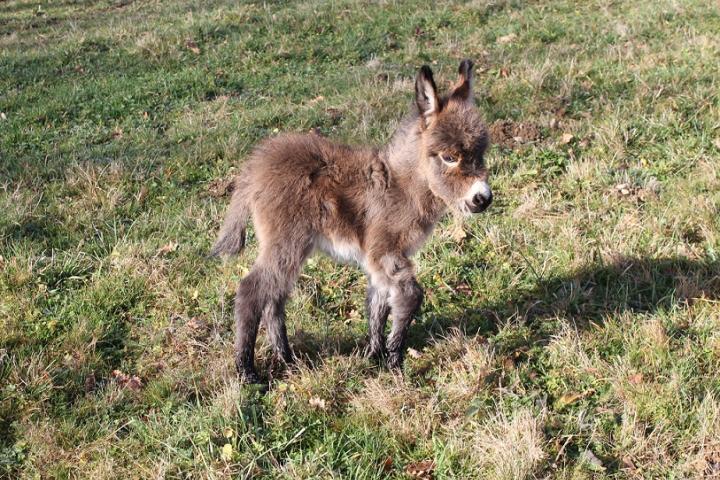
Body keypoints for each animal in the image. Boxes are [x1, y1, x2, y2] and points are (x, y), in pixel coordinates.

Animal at [211, 60, 492, 382]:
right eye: (448, 157)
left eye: (481, 153)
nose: (483, 198)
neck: (403, 186)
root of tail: (255, 166)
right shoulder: (384, 249)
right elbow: (409, 296)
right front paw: (395, 363)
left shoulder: (380, 258)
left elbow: (378, 303)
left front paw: (375, 355)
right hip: (287, 241)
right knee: (251, 291)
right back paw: (246, 372)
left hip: (292, 247)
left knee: (274, 299)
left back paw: (287, 359)